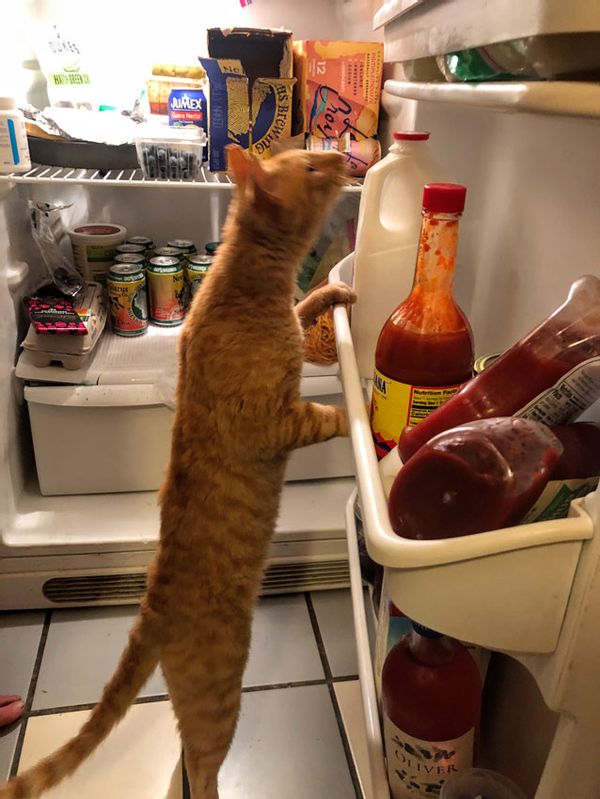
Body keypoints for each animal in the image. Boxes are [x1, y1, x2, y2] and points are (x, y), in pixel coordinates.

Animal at [0, 145, 356, 799]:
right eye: (312, 170)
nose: (343, 156)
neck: (244, 279)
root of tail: (151, 606)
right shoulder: (279, 420)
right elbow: (331, 415)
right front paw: (365, 411)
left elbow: (307, 307)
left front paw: (335, 297)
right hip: (220, 695)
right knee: (203, 763)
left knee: (185, 759)